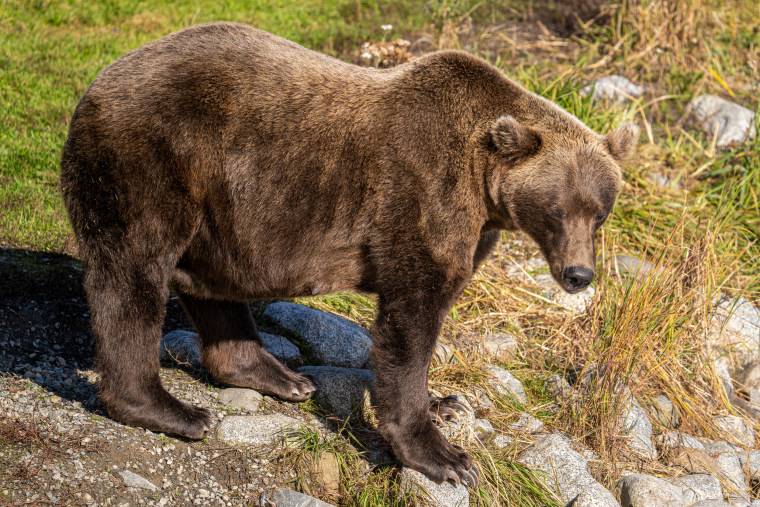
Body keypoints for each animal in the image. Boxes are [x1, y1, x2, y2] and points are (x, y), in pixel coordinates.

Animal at [60, 22, 636, 488]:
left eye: (600, 213)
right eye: (557, 211)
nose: (579, 274)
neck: (486, 186)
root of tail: (98, 81)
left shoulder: (476, 227)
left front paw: (447, 403)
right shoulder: (422, 194)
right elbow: (411, 320)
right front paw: (445, 457)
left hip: (218, 214)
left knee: (209, 283)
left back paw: (282, 377)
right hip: (152, 159)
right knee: (133, 275)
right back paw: (172, 411)